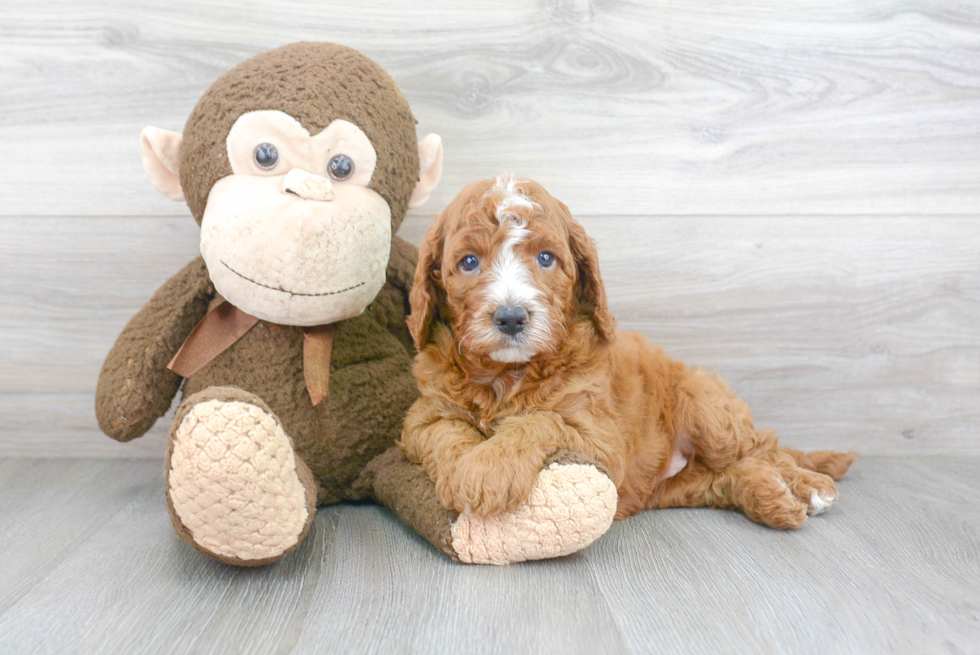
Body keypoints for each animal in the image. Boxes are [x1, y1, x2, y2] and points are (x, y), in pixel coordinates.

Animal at [402, 177, 852, 532]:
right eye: (469, 262)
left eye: (546, 258)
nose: (511, 317)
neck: (507, 373)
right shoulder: (422, 418)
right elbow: (447, 432)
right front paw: (463, 469)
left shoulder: (601, 439)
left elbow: (540, 420)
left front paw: (486, 469)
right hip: (676, 487)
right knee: (730, 474)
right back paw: (771, 496)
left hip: (706, 409)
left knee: (761, 446)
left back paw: (810, 486)